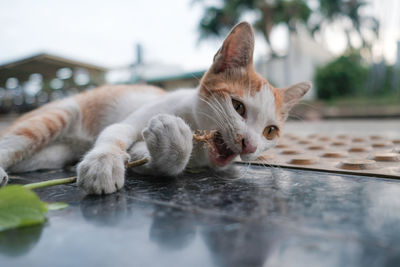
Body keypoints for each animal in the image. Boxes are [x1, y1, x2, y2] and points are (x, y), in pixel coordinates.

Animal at [0, 22, 310, 195]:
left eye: (270, 131)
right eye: (238, 106)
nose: (249, 145)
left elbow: (153, 162)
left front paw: (170, 146)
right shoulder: (132, 120)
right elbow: (115, 135)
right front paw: (104, 162)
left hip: (52, 155)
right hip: (57, 116)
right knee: (13, 142)